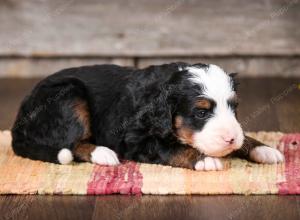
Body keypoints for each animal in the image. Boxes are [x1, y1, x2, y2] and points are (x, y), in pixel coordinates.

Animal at [11, 62, 284, 171]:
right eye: (201, 112)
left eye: (233, 107)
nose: (230, 140)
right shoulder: (136, 141)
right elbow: (172, 148)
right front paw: (205, 159)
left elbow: (246, 136)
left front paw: (264, 149)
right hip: (70, 95)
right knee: (72, 142)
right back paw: (103, 153)